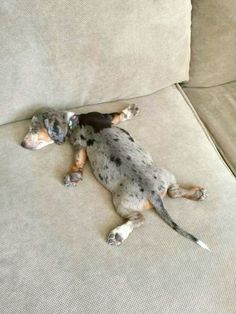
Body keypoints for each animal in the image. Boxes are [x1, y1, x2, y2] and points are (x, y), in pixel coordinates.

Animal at [22, 105, 209, 250]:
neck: (74, 121)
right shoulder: (80, 144)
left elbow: (117, 116)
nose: (22, 144)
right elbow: (78, 160)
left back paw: (118, 234)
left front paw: (130, 111)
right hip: (162, 177)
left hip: (121, 202)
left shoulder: (89, 132)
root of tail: (153, 192)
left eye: (33, 128)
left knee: (141, 217)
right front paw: (73, 176)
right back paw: (197, 194)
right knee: (172, 193)